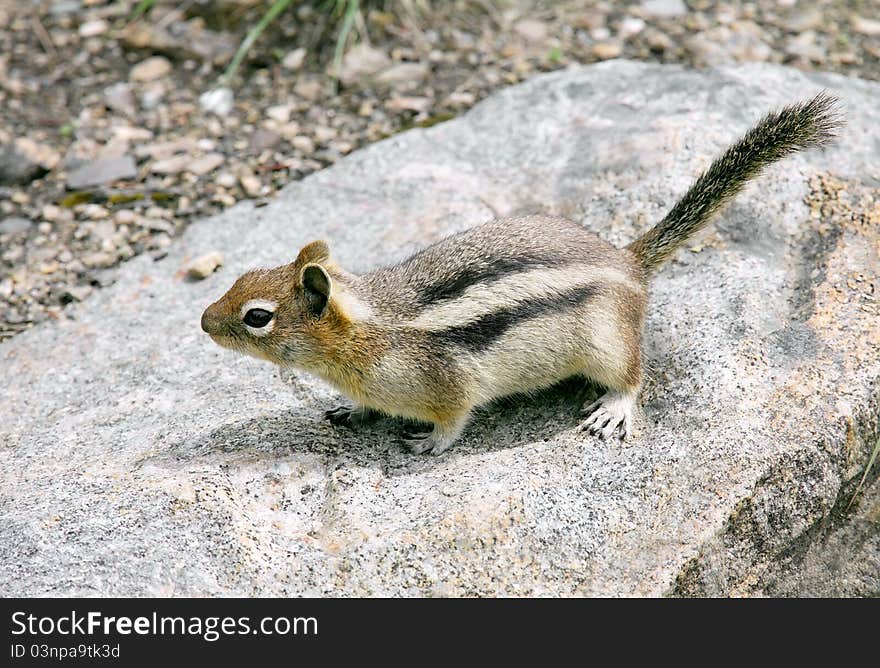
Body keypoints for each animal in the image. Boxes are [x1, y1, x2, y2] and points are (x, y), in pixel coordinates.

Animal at [203, 92, 844, 454]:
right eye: (240, 276)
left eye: (256, 318)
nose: (204, 322)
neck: (368, 330)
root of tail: (627, 261)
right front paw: (353, 411)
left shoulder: (447, 385)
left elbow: (455, 418)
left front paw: (430, 443)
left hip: (607, 341)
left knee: (634, 373)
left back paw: (615, 408)